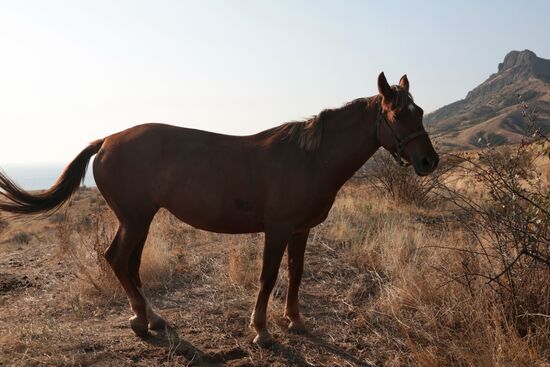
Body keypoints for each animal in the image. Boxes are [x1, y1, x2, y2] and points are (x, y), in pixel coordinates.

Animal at [0, 72, 440, 348]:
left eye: (419, 112)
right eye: (397, 114)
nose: (428, 161)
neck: (309, 157)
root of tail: (106, 140)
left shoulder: (301, 230)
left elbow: (296, 274)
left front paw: (295, 320)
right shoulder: (278, 229)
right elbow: (268, 277)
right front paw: (261, 331)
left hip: (138, 220)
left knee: (128, 263)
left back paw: (150, 318)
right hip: (135, 218)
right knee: (119, 260)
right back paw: (143, 321)